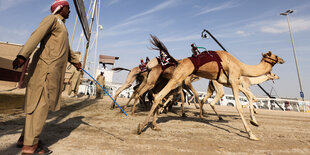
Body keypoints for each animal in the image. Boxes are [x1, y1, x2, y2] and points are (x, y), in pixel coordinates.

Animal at [137, 34, 284, 140]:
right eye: (275, 55)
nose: (283, 59)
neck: (241, 67)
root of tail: (178, 61)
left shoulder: (228, 82)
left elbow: (249, 97)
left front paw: (254, 121)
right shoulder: (234, 81)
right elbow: (238, 105)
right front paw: (251, 134)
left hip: (173, 79)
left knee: (156, 95)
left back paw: (153, 124)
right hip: (178, 77)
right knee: (158, 96)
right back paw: (141, 126)